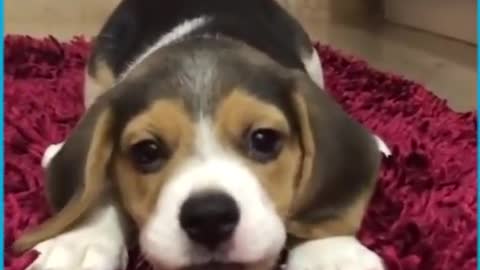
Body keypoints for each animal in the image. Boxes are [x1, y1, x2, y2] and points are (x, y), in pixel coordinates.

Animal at [15, 0, 390, 270]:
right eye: (146, 151)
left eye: (264, 139)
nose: (209, 217)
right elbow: (98, 183)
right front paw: (81, 242)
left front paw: (330, 254)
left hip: (313, 59)